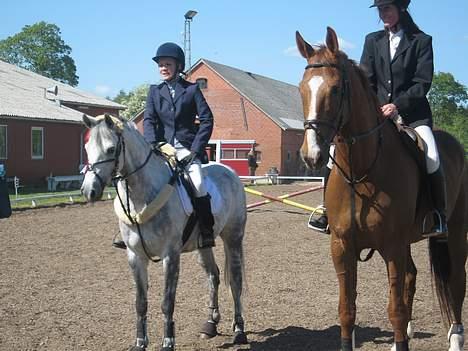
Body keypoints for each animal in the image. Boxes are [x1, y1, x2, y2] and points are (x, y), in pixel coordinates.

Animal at [296, 28, 464, 351]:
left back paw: (456, 338)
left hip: (456, 233)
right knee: (412, 277)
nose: (311, 156)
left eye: (335, 90)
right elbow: (347, 309)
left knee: (455, 281)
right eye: (302, 89)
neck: (361, 173)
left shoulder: (392, 246)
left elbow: (394, 309)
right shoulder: (342, 247)